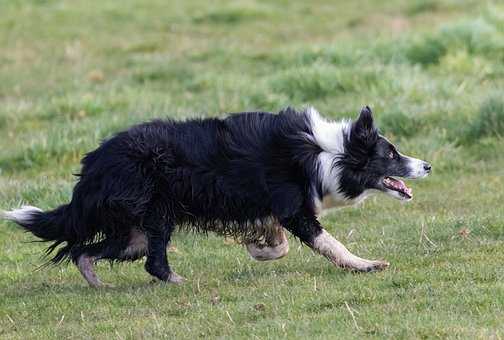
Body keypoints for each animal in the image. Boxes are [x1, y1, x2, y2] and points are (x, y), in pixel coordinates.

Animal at [1, 106, 432, 286]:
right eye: (391, 154)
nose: (426, 165)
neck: (328, 154)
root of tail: (92, 165)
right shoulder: (294, 209)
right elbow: (330, 243)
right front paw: (365, 265)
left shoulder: (271, 207)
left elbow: (278, 242)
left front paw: (260, 248)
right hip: (157, 213)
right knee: (152, 262)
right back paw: (176, 280)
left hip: (133, 231)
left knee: (84, 251)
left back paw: (96, 282)